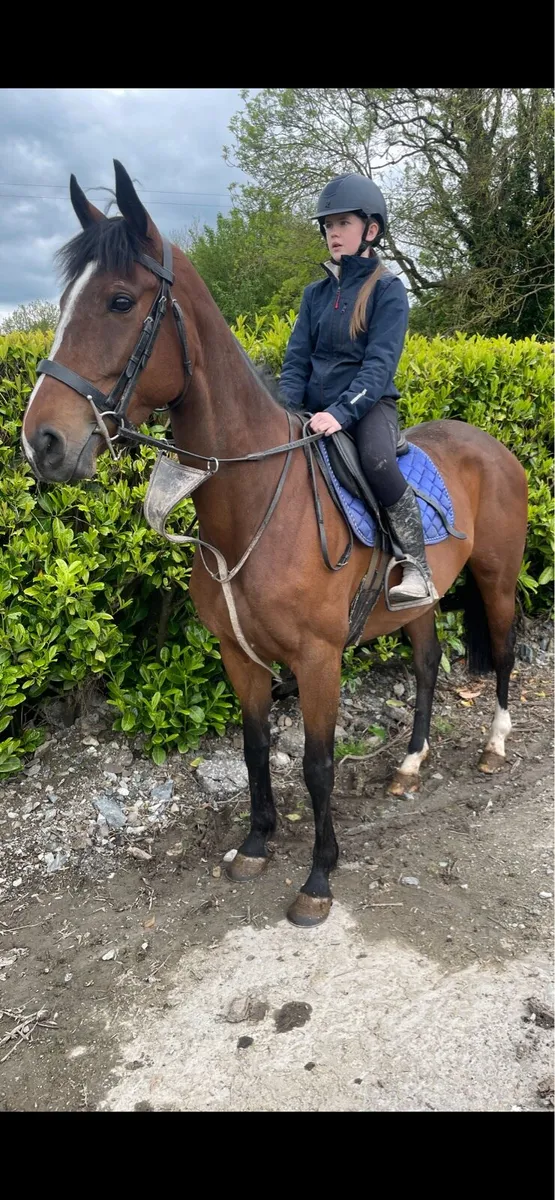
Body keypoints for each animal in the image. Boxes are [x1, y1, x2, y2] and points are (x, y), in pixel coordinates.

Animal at [21, 160, 528, 928]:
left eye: (118, 300)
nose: (41, 442)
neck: (255, 504)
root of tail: (493, 447)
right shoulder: (238, 654)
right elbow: (255, 746)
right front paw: (255, 844)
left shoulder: (317, 659)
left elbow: (317, 764)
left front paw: (318, 877)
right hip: (417, 604)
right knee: (427, 665)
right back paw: (410, 765)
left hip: (497, 578)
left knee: (499, 652)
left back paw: (495, 746)